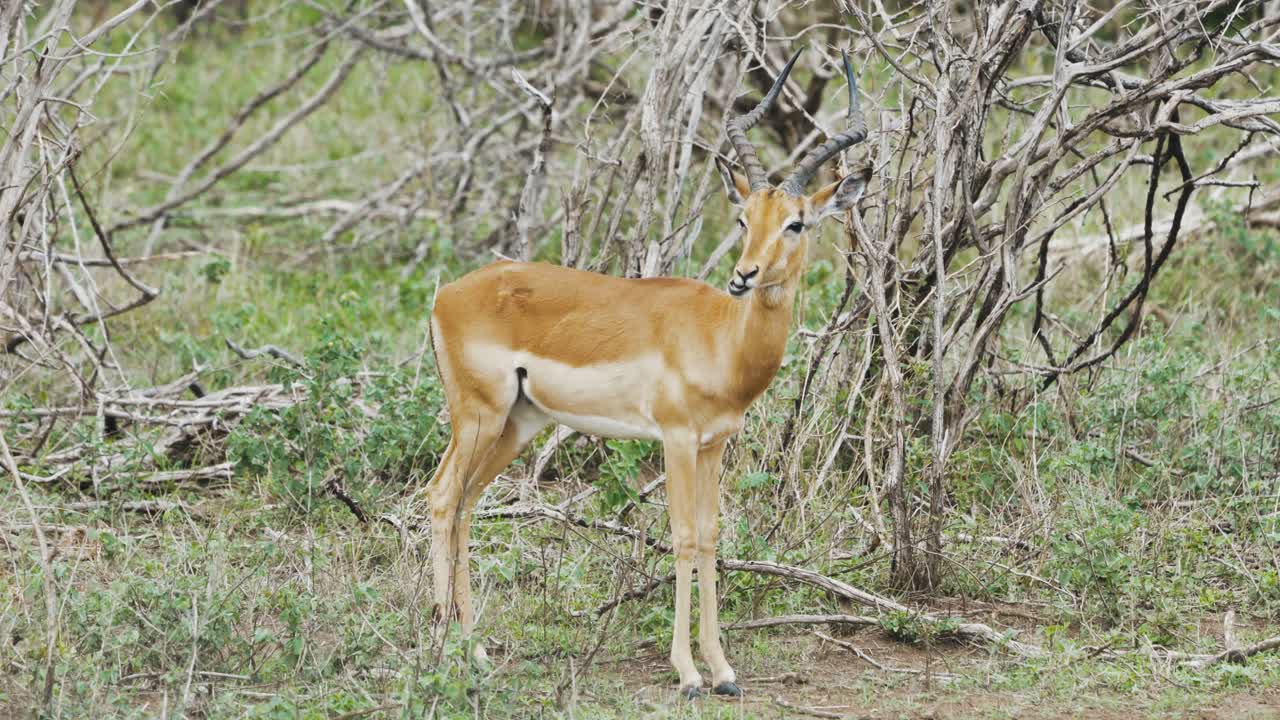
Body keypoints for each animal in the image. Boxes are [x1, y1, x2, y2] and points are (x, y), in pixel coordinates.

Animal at [424, 48, 869, 698]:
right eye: (743, 218)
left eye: (796, 222)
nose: (744, 276)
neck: (718, 337)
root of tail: (446, 294)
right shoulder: (677, 440)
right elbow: (681, 537)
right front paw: (687, 673)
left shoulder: (714, 445)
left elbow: (710, 536)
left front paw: (724, 671)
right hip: (478, 417)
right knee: (440, 497)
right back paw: (445, 650)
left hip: (515, 426)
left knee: (464, 504)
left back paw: (474, 649)